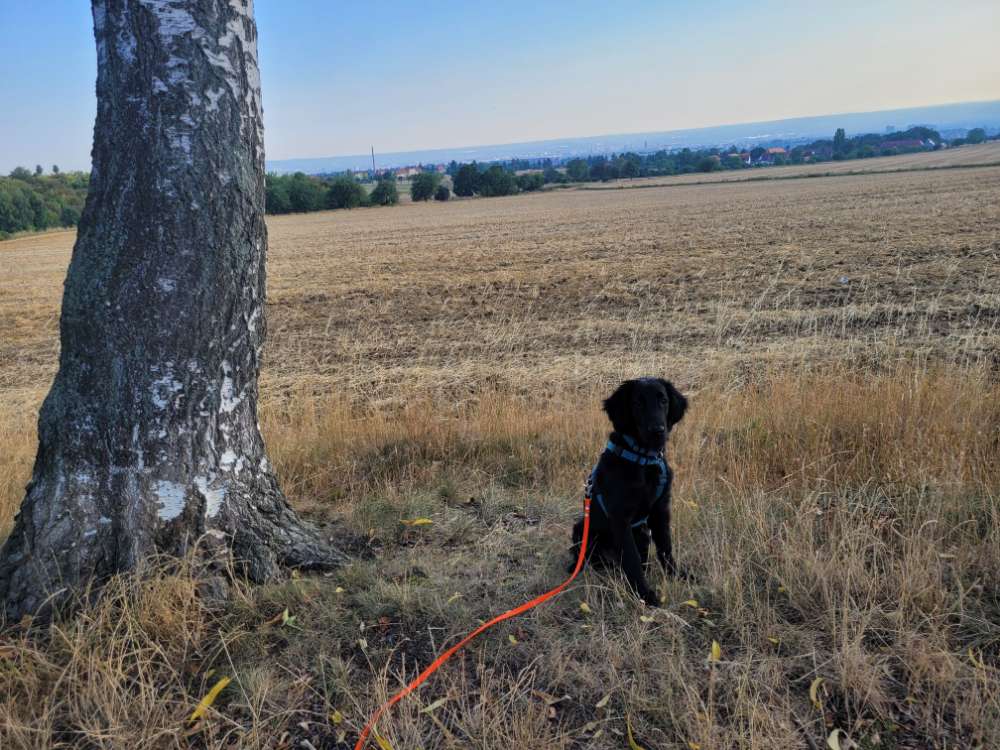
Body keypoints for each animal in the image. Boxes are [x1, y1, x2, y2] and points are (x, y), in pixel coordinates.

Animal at [572, 378, 688, 608]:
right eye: (637, 403)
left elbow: (666, 548)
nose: (658, 430)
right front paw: (645, 595)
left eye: (663, 400)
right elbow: (632, 560)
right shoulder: (620, 518)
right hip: (582, 528)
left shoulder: (661, 511)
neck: (644, 459)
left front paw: (676, 576)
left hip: (641, 532)